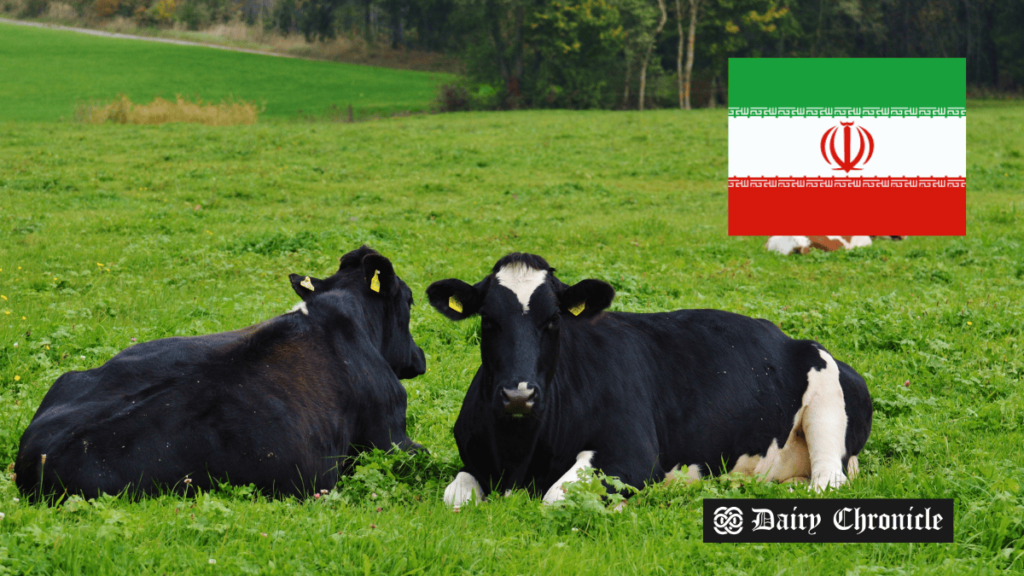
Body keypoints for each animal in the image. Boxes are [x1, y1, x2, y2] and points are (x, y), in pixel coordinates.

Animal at [423, 253, 872, 504]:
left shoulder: (631, 454)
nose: (519, 396)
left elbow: (556, 498)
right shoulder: (475, 461)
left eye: (553, 320)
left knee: (827, 481)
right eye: (488, 320)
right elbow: (453, 496)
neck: (519, 455)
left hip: (827, 406)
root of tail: (791, 338)